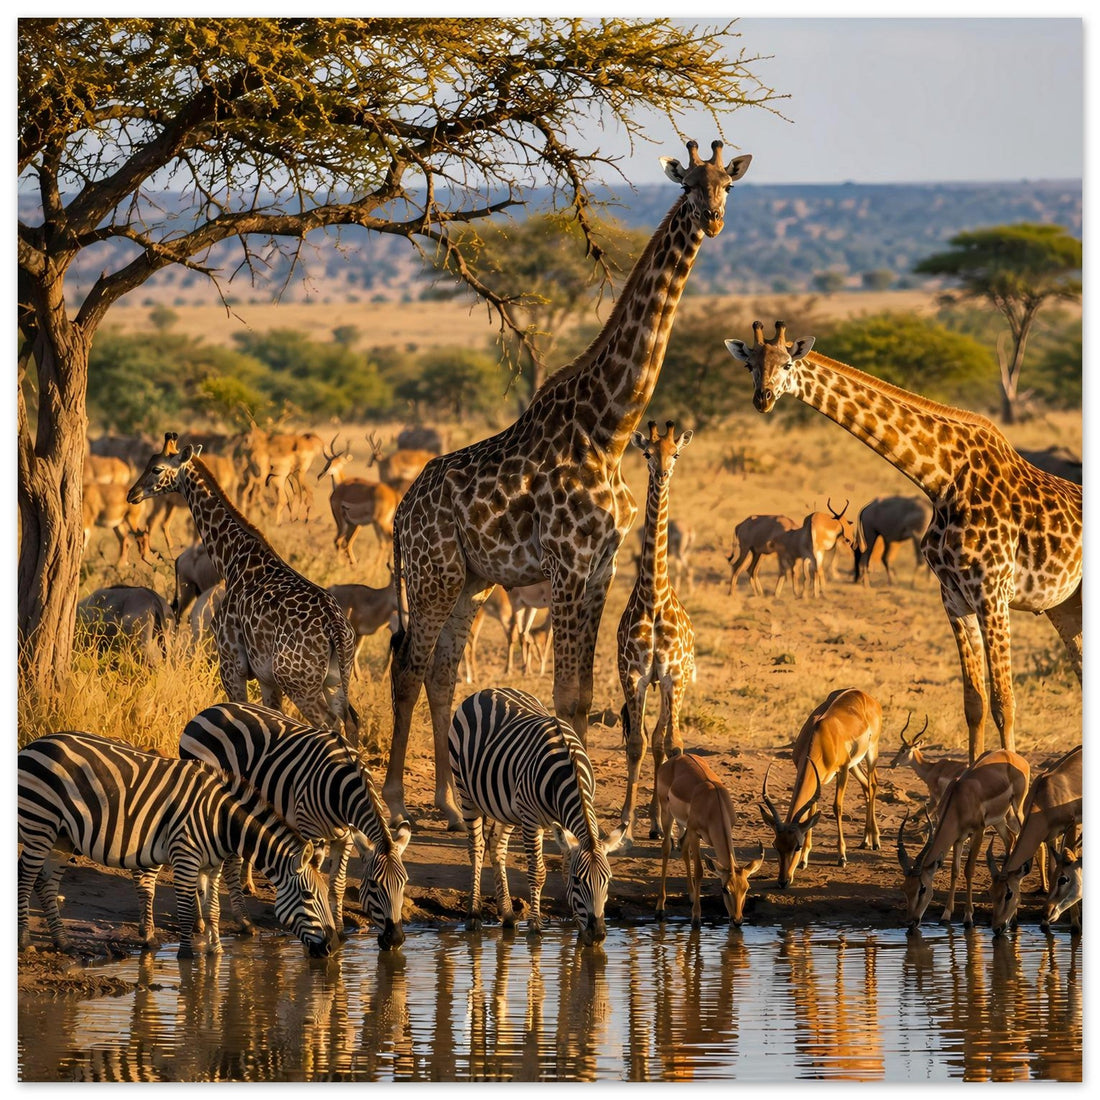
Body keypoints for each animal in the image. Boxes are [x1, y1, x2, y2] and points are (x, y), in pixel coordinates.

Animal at [18, 731, 337, 959]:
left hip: (62, 837)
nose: (332, 948)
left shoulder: (212, 866)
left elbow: (213, 909)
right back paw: (26, 942)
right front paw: (187, 955)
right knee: (25, 878)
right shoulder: (186, 856)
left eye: (323, 895)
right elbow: (185, 909)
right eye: (308, 896)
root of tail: (33, 744)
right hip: (39, 824)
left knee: (46, 885)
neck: (221, 819)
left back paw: (63, 942)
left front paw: (216, 951)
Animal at [180, 701, 411, 949]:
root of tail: (210, 709)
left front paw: (339, 930)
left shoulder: (346, 837)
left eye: (404, 883)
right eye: (375, 885)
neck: (342, 788)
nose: (395, 939)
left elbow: (337, 885)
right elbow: (316, 877)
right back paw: (232, 922)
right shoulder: (311, 831)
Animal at [448, 687, 627, 945]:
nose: (598, 935)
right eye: (579, 881)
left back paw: (508, 915)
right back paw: (474, 915)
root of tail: (487, 690)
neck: (568, 772)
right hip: (466, 791)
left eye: (608, 880)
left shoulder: (562, 824)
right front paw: (535, 926)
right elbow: (538, 872)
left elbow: (564, 869)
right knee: (477, 848)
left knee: (496, 845)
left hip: (507, 807)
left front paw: (578, 928)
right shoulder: (532, 820)